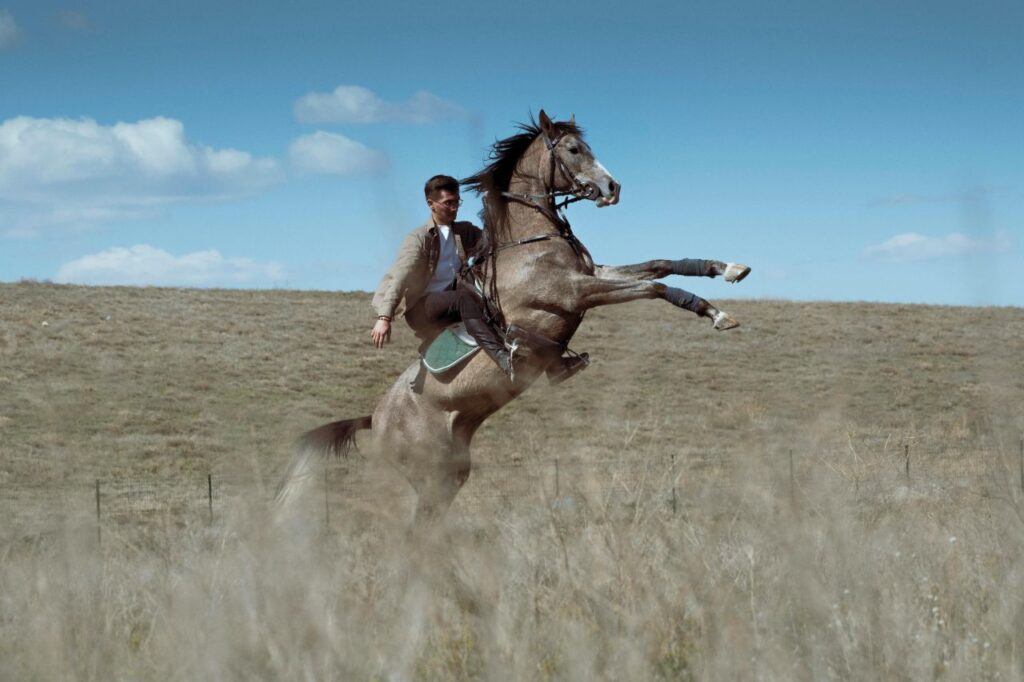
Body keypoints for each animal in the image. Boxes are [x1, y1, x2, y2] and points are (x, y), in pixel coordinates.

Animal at [275, 110, 747, 532]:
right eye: (574, 150)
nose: (612, 188)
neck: (531, 240)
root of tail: (375, 418)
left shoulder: (595, 275)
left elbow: (659, 264)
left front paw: (726, 268)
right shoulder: (575, 291)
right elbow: (654, 287)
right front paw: (715, 313)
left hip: (453, 471)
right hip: (430, 471)